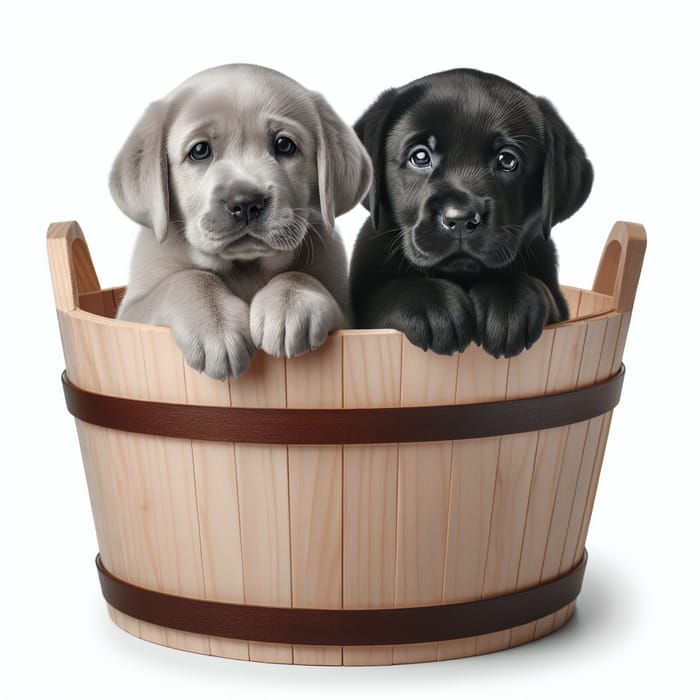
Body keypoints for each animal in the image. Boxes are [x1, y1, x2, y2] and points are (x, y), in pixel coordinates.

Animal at [110, 65, 372, 380]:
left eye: (284, 145)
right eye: (200, 151)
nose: (246, 202)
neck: (246, 266)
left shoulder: (348, 317)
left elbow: (298, 275)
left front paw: (290, 304)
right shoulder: (130, 313)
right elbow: (188, 278)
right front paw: (215, 326)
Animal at [350, 68, 592, 358]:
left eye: (507, 160)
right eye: (420, 157)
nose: (460, 219)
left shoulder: (558, 304)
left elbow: (540, 292)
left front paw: (510, 301)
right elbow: (387, 293)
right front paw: (432, 305)